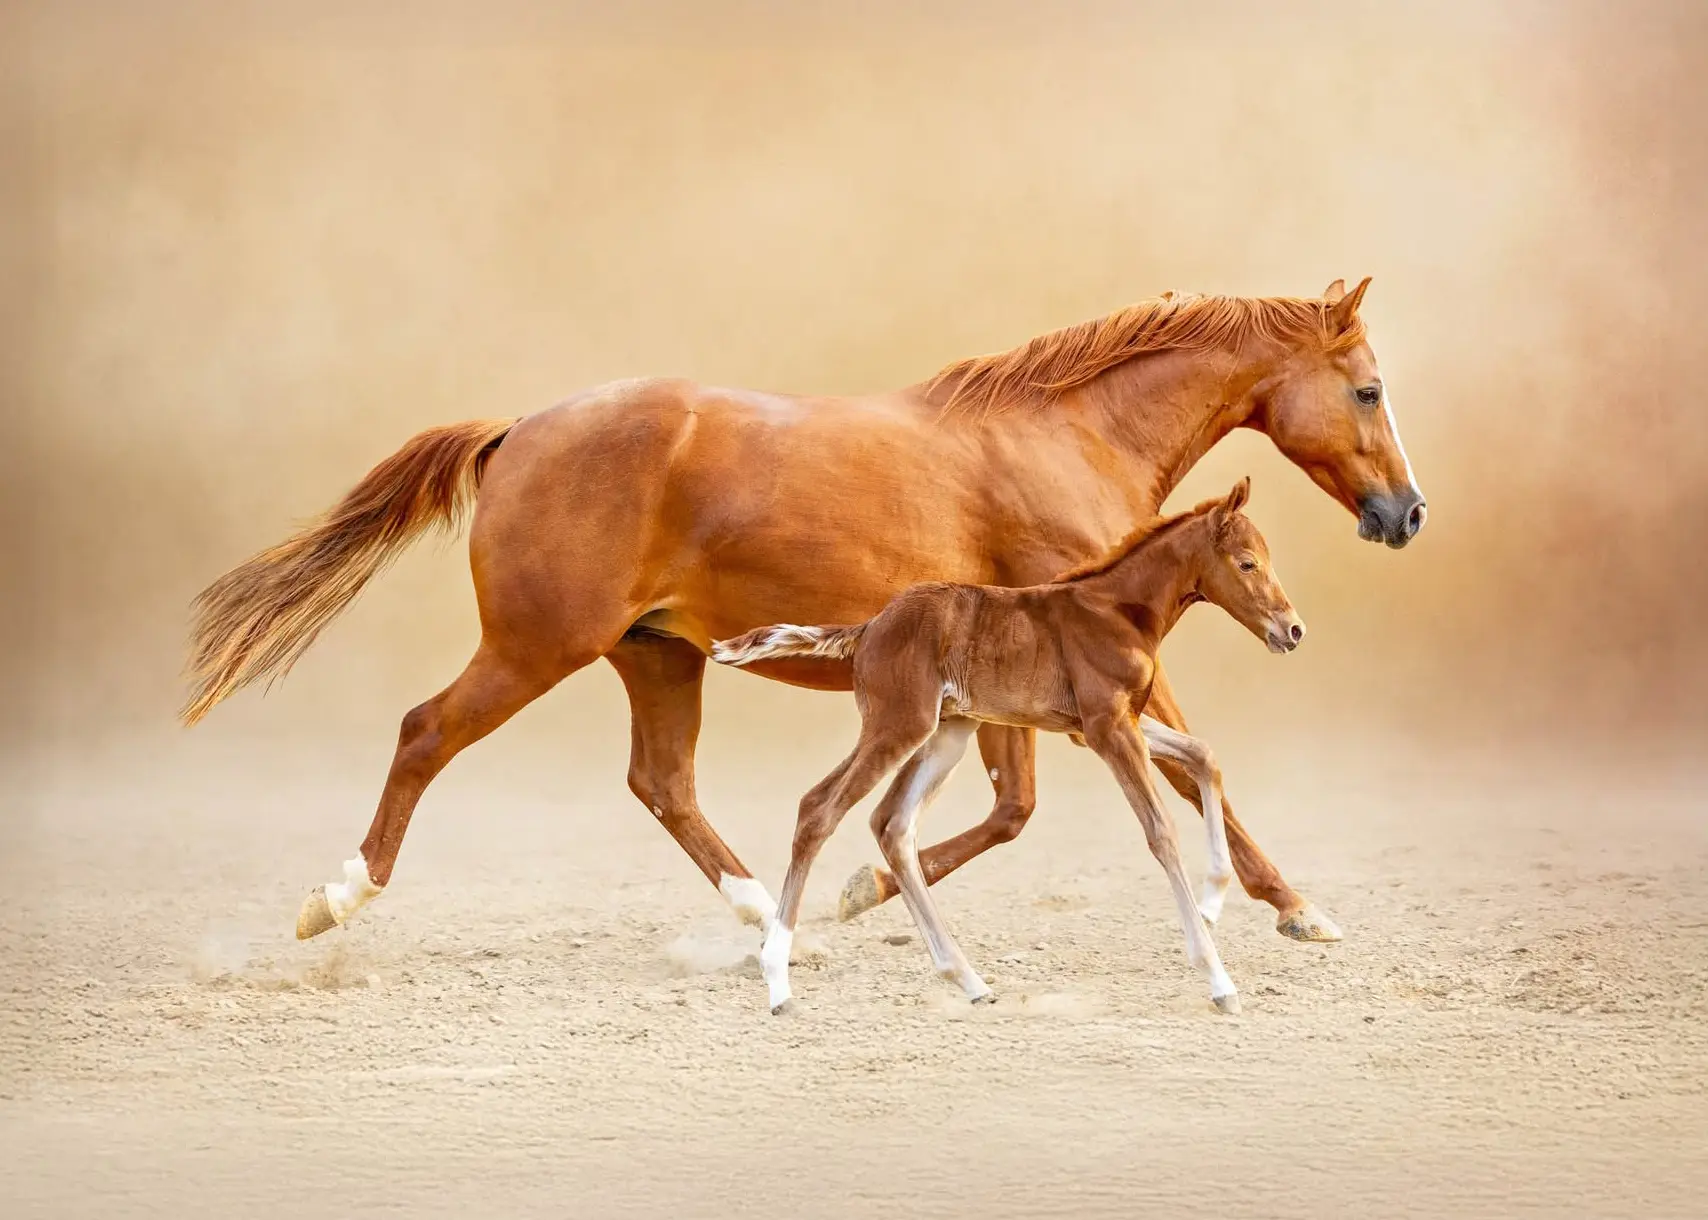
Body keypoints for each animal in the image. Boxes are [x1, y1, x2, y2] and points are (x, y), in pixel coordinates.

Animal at [180, 277, 1423, 944]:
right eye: (1367, 388)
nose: (1406, 512)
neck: (1065, 438)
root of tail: (517, 429)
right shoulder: (1098, 658)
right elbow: (1171, 775)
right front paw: (1300, 908)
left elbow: (1016, 806)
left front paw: (862, 890)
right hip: (536, 647)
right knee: (425, 731)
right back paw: (334, 899)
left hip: (655, 656)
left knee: (662, 782)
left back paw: (760, 918)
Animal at [713, 477, 1296, 1015]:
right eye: (1247, 563)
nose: (1293, 630)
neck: (1117, 611)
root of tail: (869, 627)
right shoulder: (1108, 728)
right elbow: (1160, 830)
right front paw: (1218, 978)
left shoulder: (1106, 725)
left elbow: (1205, 756)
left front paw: (1214, 900)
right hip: (897, 726)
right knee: (821, 808)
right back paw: (778, 980)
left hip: (946, 734)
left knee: (893, 824)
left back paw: (968, 980)